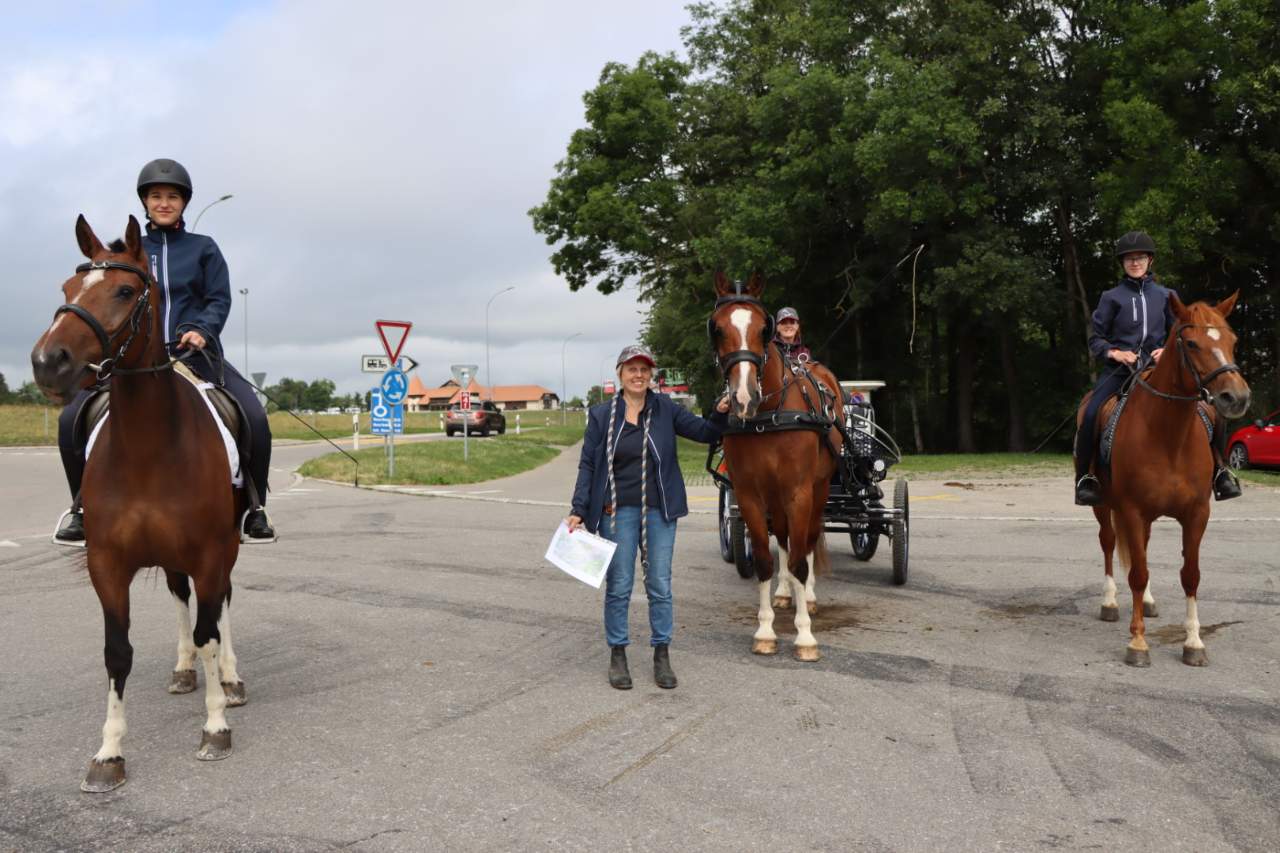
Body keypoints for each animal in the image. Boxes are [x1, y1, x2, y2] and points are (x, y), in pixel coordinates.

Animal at [30, 215, 247, 792]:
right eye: (66, 288)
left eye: (126, 291)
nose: (48, 362)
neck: (149, 449)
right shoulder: (107, 563)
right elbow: (117, 652)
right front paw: (108, 753)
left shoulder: (210, 553)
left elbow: (210, 630)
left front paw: (215, 725)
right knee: (180, 598)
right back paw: (184, 669)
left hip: (226, 550)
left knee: (221, 607)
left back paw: (230, 679)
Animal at [709, 272, 843, 661]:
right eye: (717, 328)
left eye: (762, 328)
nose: (743, 398)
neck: (768, 416)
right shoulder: (749, 494)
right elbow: (766, 561)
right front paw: (766, 630)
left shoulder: (799, 492)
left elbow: (799, 560)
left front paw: (805, 636)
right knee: (783, 538)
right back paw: (784, 594)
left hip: (819, 488)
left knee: (808, 540)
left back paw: (807, 597)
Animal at [1075, 292, 1250, 667]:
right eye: (1192, 343)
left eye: (1232, 341)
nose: (1236, 397)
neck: (1169, 435)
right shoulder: (1131, 510)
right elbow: (1137, 573)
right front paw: (1138, 643)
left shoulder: (1197, 514)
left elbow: (1190, 575)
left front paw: (1194, 643)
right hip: (1104, 506)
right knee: (1109, 544)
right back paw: (1110, 602)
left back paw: (1149, 602)